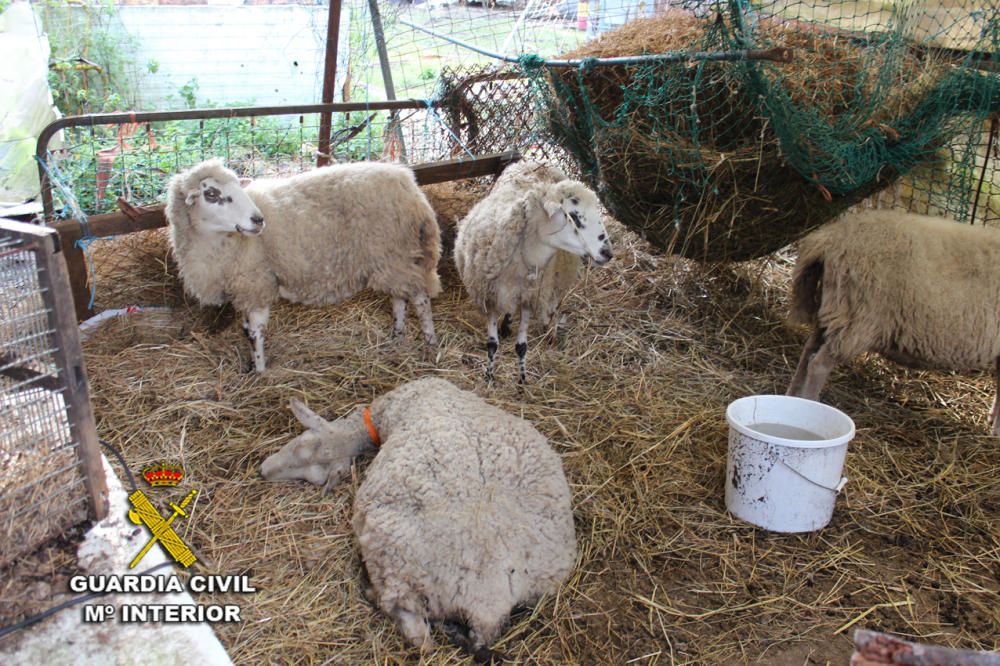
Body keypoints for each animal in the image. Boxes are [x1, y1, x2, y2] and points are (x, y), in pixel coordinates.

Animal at [164, 158, 438, 370]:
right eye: (211, 194)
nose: (258, 220)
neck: (218, 242)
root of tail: (409, 184)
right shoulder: (243, 288)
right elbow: (244, 330)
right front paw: (252, 366)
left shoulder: (256, 283)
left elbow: (254, 333)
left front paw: (260, 371)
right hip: (391, 259)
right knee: (399, 297)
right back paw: (397, 335)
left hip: (397, 252)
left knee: (420, 299)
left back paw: (430, 342)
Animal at [258, 376, 580, 656]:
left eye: (306, 445)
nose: (263, 470)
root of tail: (488, 606)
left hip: (394, 560)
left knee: (417, 634)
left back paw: (374, 595)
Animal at [452, 158, 608, 382]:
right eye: (574, 217)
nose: (608, 253)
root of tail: (535, 162)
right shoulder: (490, 297)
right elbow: (491, 344)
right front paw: (489, 375)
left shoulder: (530, 298)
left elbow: (522, 346)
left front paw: (522, 380)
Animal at [788, 209, 1000, 436]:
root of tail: (832, 238)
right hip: (858, 320)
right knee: (818, 363)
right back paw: (809, 401)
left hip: (834, 310)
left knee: (808, 351)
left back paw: (792, 395)